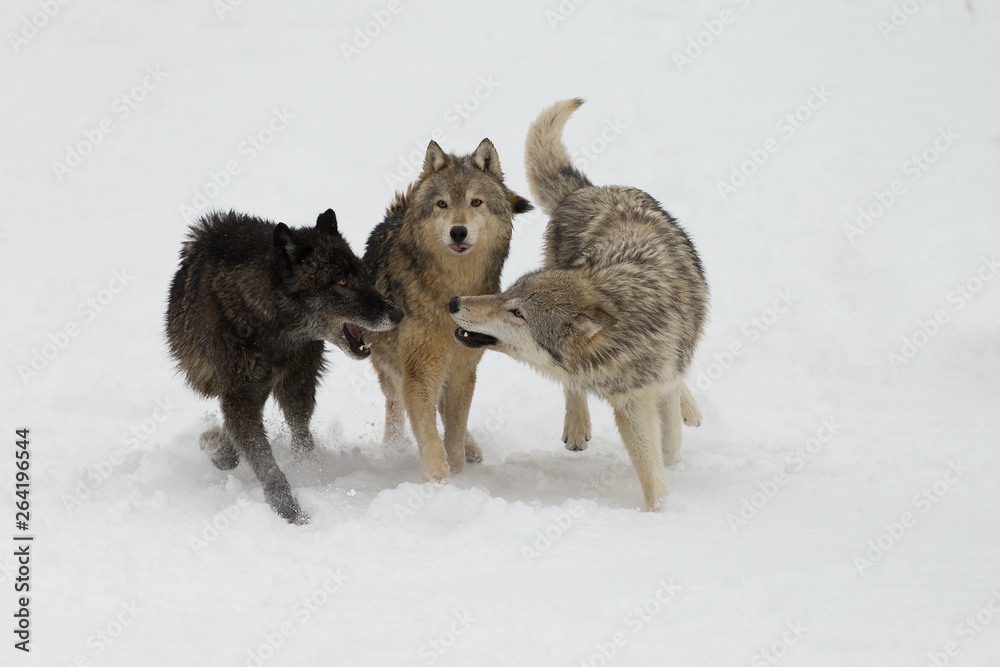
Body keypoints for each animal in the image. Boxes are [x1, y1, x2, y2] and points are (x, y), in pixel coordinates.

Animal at [364, 138, 536, 482]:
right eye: (442, 204)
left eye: (476, 202)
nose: (458, 231)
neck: (451, 288)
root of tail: (398, 211)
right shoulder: (420, 371)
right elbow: (428, 433)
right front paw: (437, 481)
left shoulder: (463, 370)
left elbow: (454, 431)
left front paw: (457, 474)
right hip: (390, 366)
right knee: (395, 404)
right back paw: (392, 448)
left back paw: (471, 449)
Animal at [450, 99, 708, 508]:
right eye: (508, 294)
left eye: (517, 313)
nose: (454, 301)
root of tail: (590, 190)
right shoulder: (630, 404)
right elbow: (650, 461)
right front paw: (662, 509)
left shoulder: (648, 390)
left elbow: (665, 450)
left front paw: (664, 508)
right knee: (572, 387)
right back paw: (577, 427)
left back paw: (690, 409)